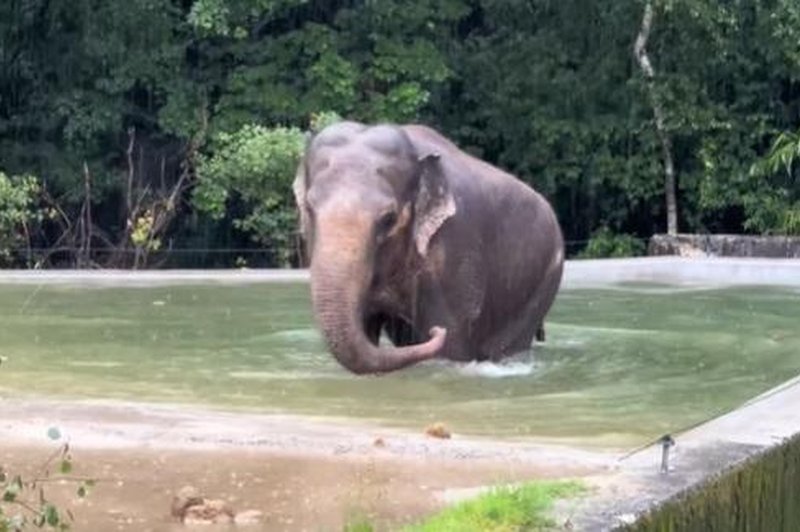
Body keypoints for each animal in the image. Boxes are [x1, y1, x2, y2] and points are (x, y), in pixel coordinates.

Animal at [292, 120, 564, 374]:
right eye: (309, 209)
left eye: (389, 218)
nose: (435, 332)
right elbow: (365, 329)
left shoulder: (456, 248)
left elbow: (453, 341)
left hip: (544, 279)